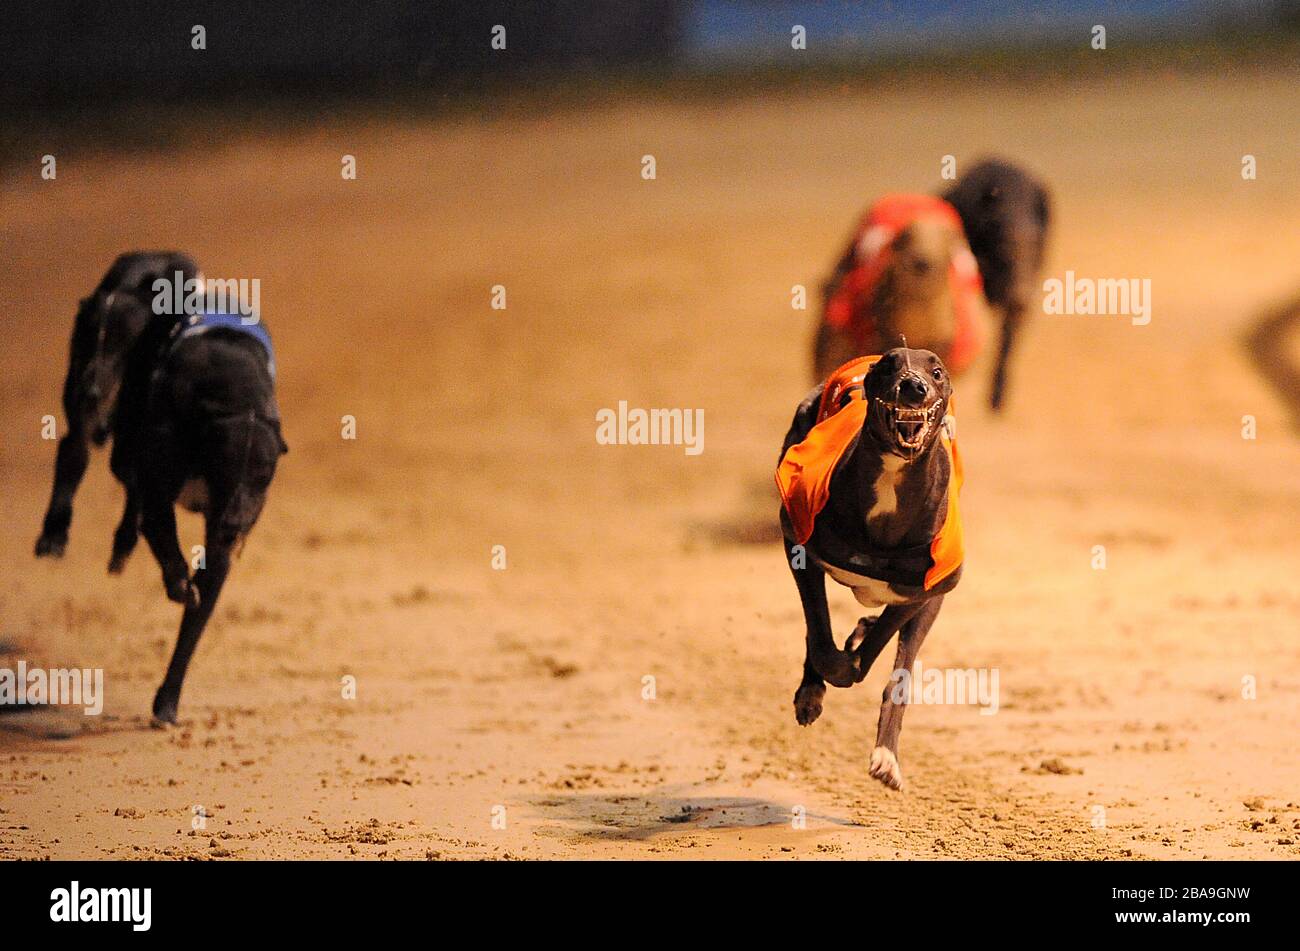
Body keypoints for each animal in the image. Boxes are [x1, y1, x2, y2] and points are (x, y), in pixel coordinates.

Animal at [35, 250, 198, 556]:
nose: (89, 393)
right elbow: (73, 457)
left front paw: (126, 537)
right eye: (85, 340)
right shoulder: (80, 425)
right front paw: (54, 532)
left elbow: (133, 474)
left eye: (122, 345)